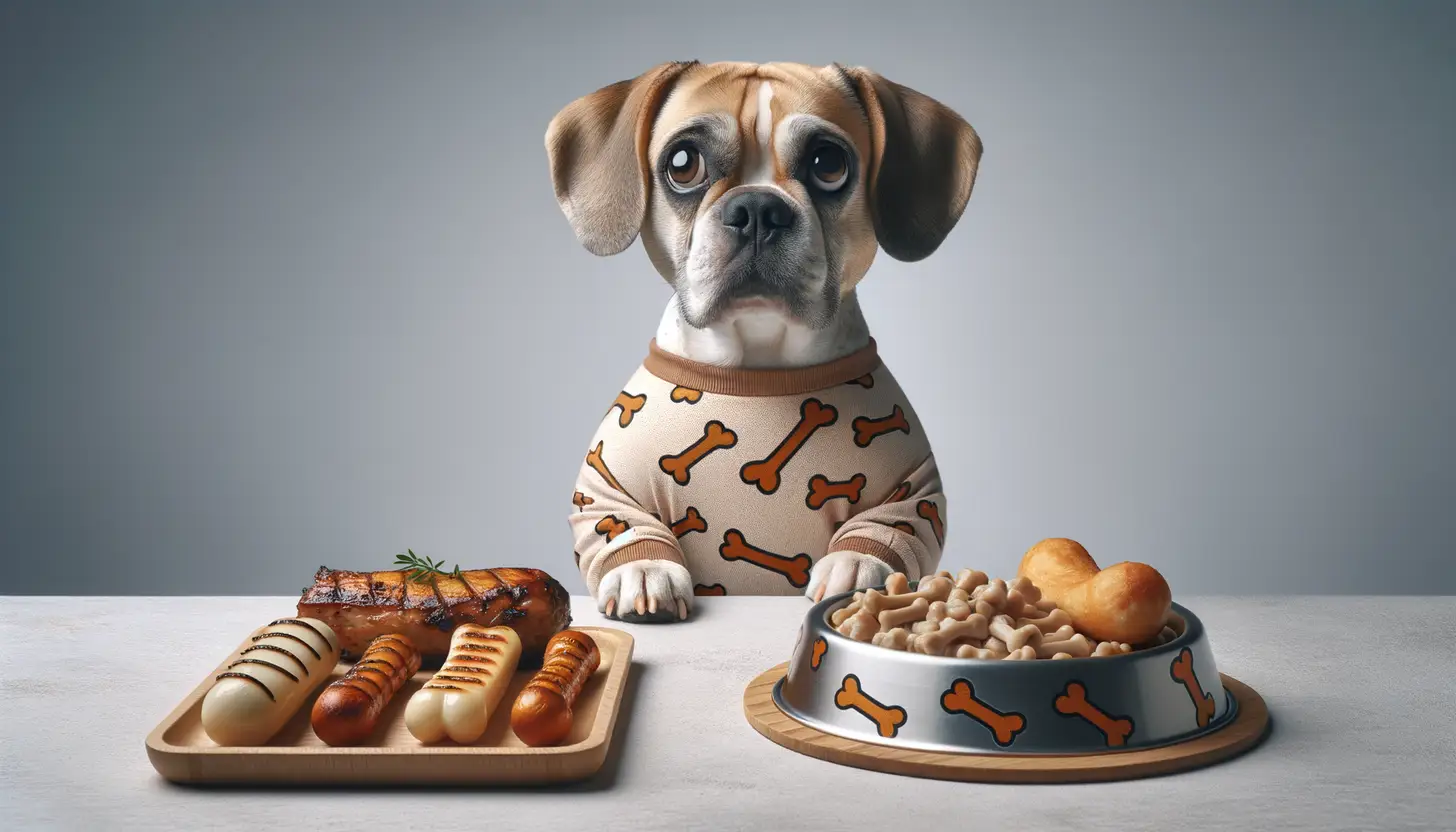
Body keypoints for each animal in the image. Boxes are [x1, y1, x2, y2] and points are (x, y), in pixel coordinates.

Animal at [547, 58, 978, 620]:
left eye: (828, 162)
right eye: (683, 163)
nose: (757, 208)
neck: (758, 365)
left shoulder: (913, 488)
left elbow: (895, 526)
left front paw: (856, 569)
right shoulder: (605, 483)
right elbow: (618, 524)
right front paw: (643, 570)